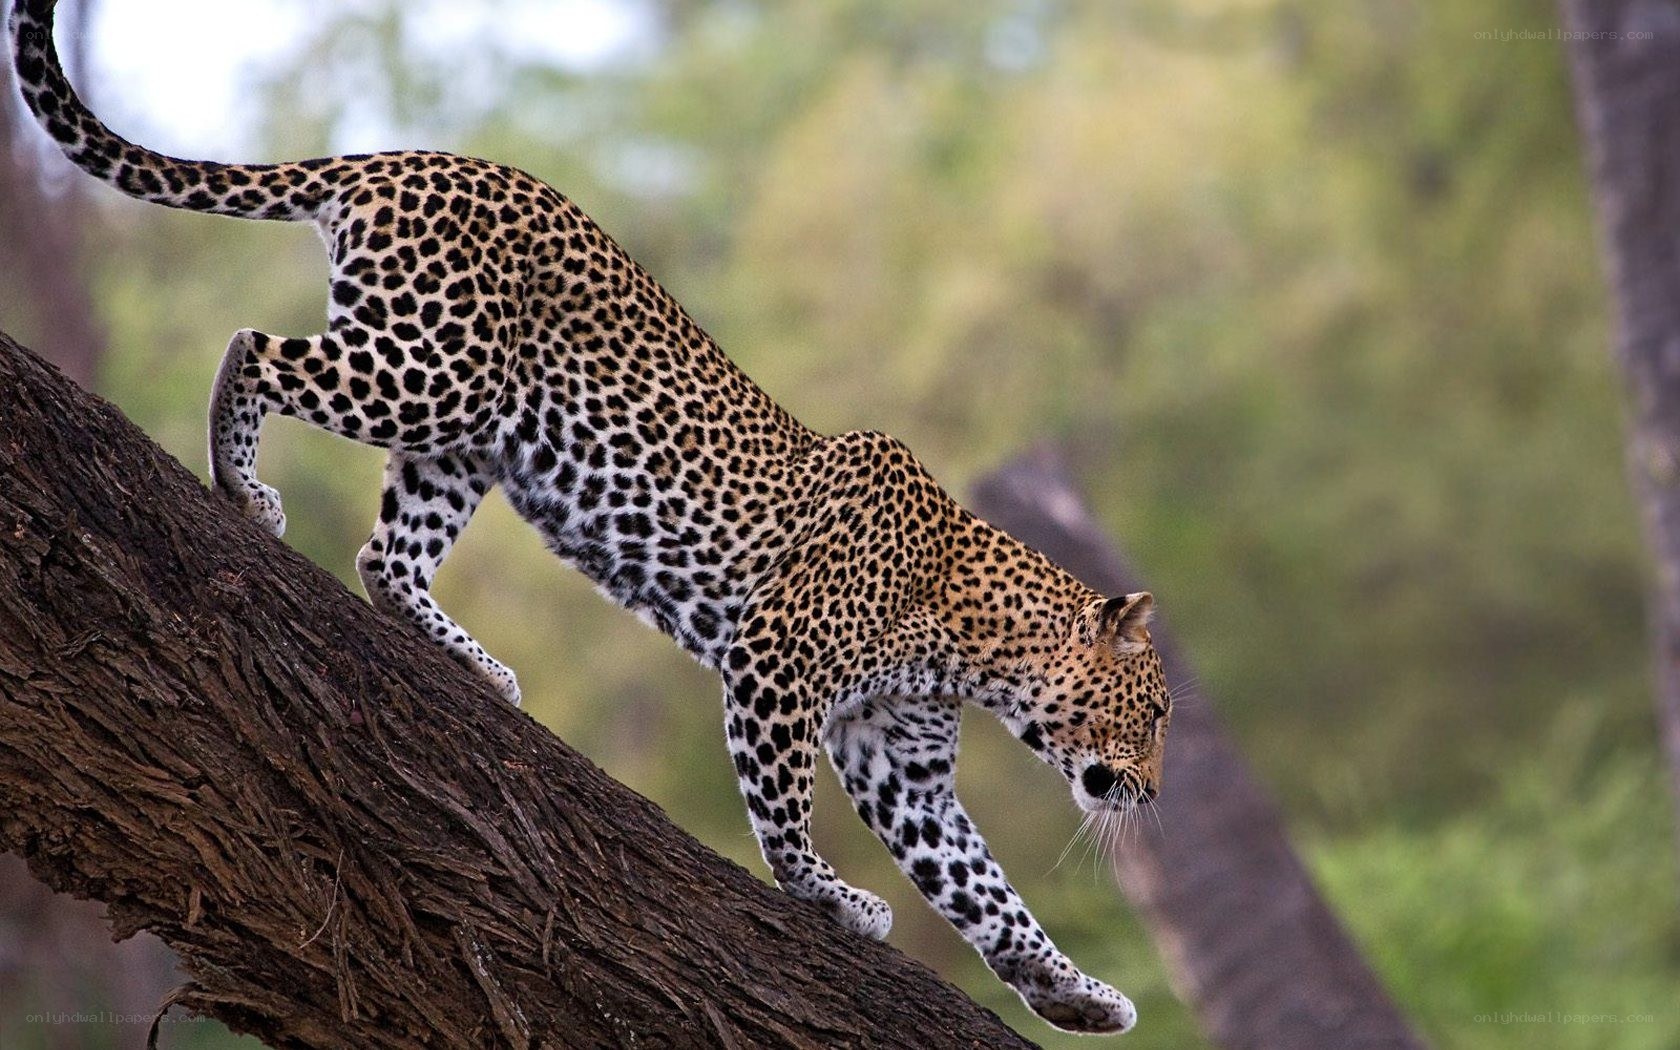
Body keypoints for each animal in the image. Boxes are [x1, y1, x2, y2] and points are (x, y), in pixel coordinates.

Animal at [10, 0, 1172, 1034]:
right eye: (1157, 714)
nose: (1153, 796)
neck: (975, 644)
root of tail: (402, 158)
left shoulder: (903, 764)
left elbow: (986, 889)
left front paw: (1074, 993)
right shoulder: (776, 663)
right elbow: (787, 811)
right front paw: (829, 897)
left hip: (468, 438)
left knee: (387, 555)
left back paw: (474, 665)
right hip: (432, 373)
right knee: (254, 347)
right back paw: (241, 486)